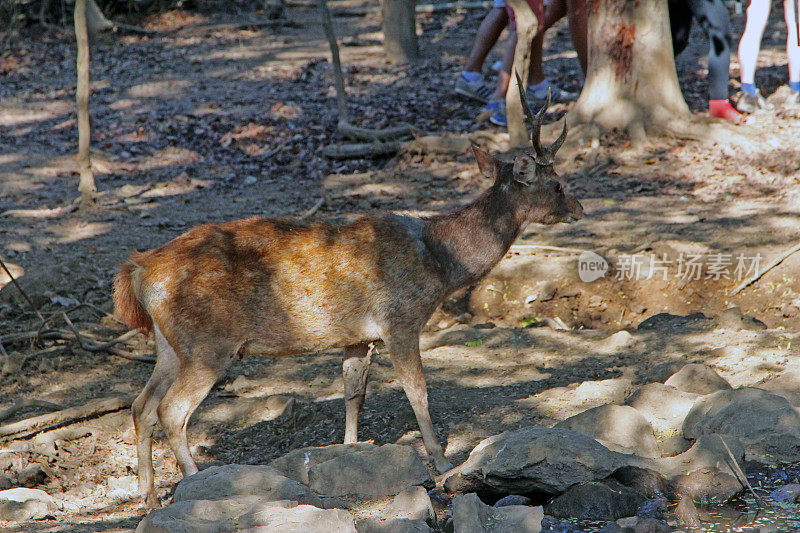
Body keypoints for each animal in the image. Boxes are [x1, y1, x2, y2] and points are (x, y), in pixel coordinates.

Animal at [112, 86, 580, 508]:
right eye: (557, 184)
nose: (579, 207)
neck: (439, 262)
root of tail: (139, 271)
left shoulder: (359, 336)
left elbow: (354, 395)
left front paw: (350, 454)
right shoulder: (400, 319)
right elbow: (418, 391)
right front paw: (442, 462)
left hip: (170, 345)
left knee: (141, 405)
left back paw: (148, 498)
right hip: (209, 342)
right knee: (171, 410)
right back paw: (195, 484)